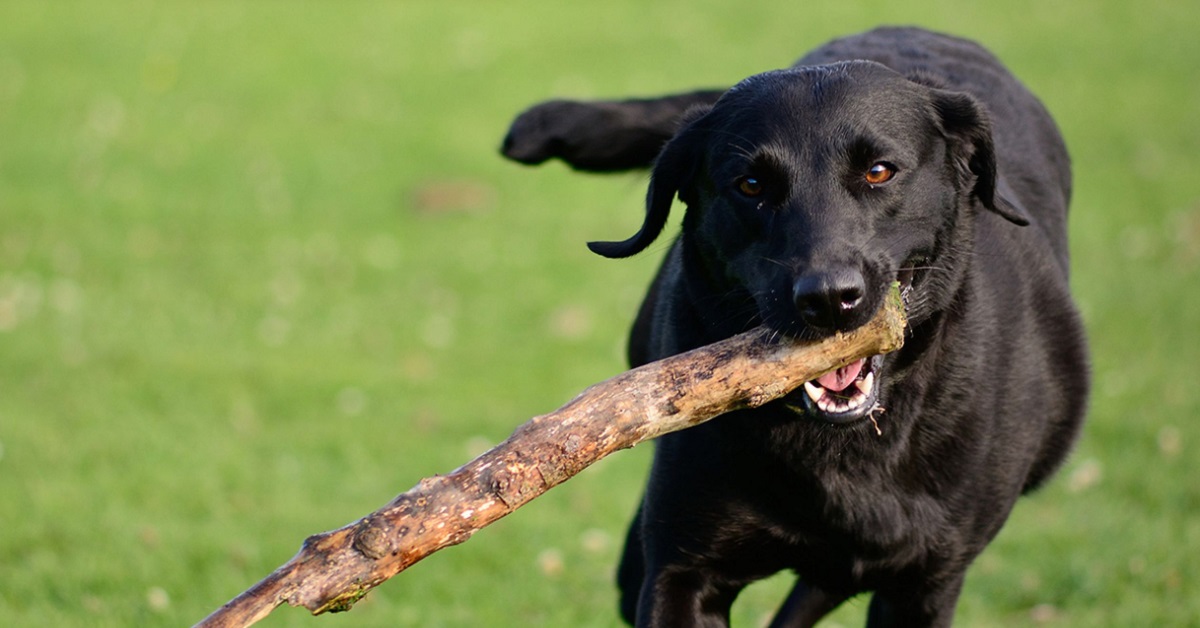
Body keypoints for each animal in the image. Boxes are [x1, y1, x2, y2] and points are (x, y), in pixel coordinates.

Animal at [496, 27, 1089, 624]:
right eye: (751, 185)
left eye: (879, 171)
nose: (828, 299)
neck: (841, 448)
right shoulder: (682, 570)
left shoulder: (926, 582)